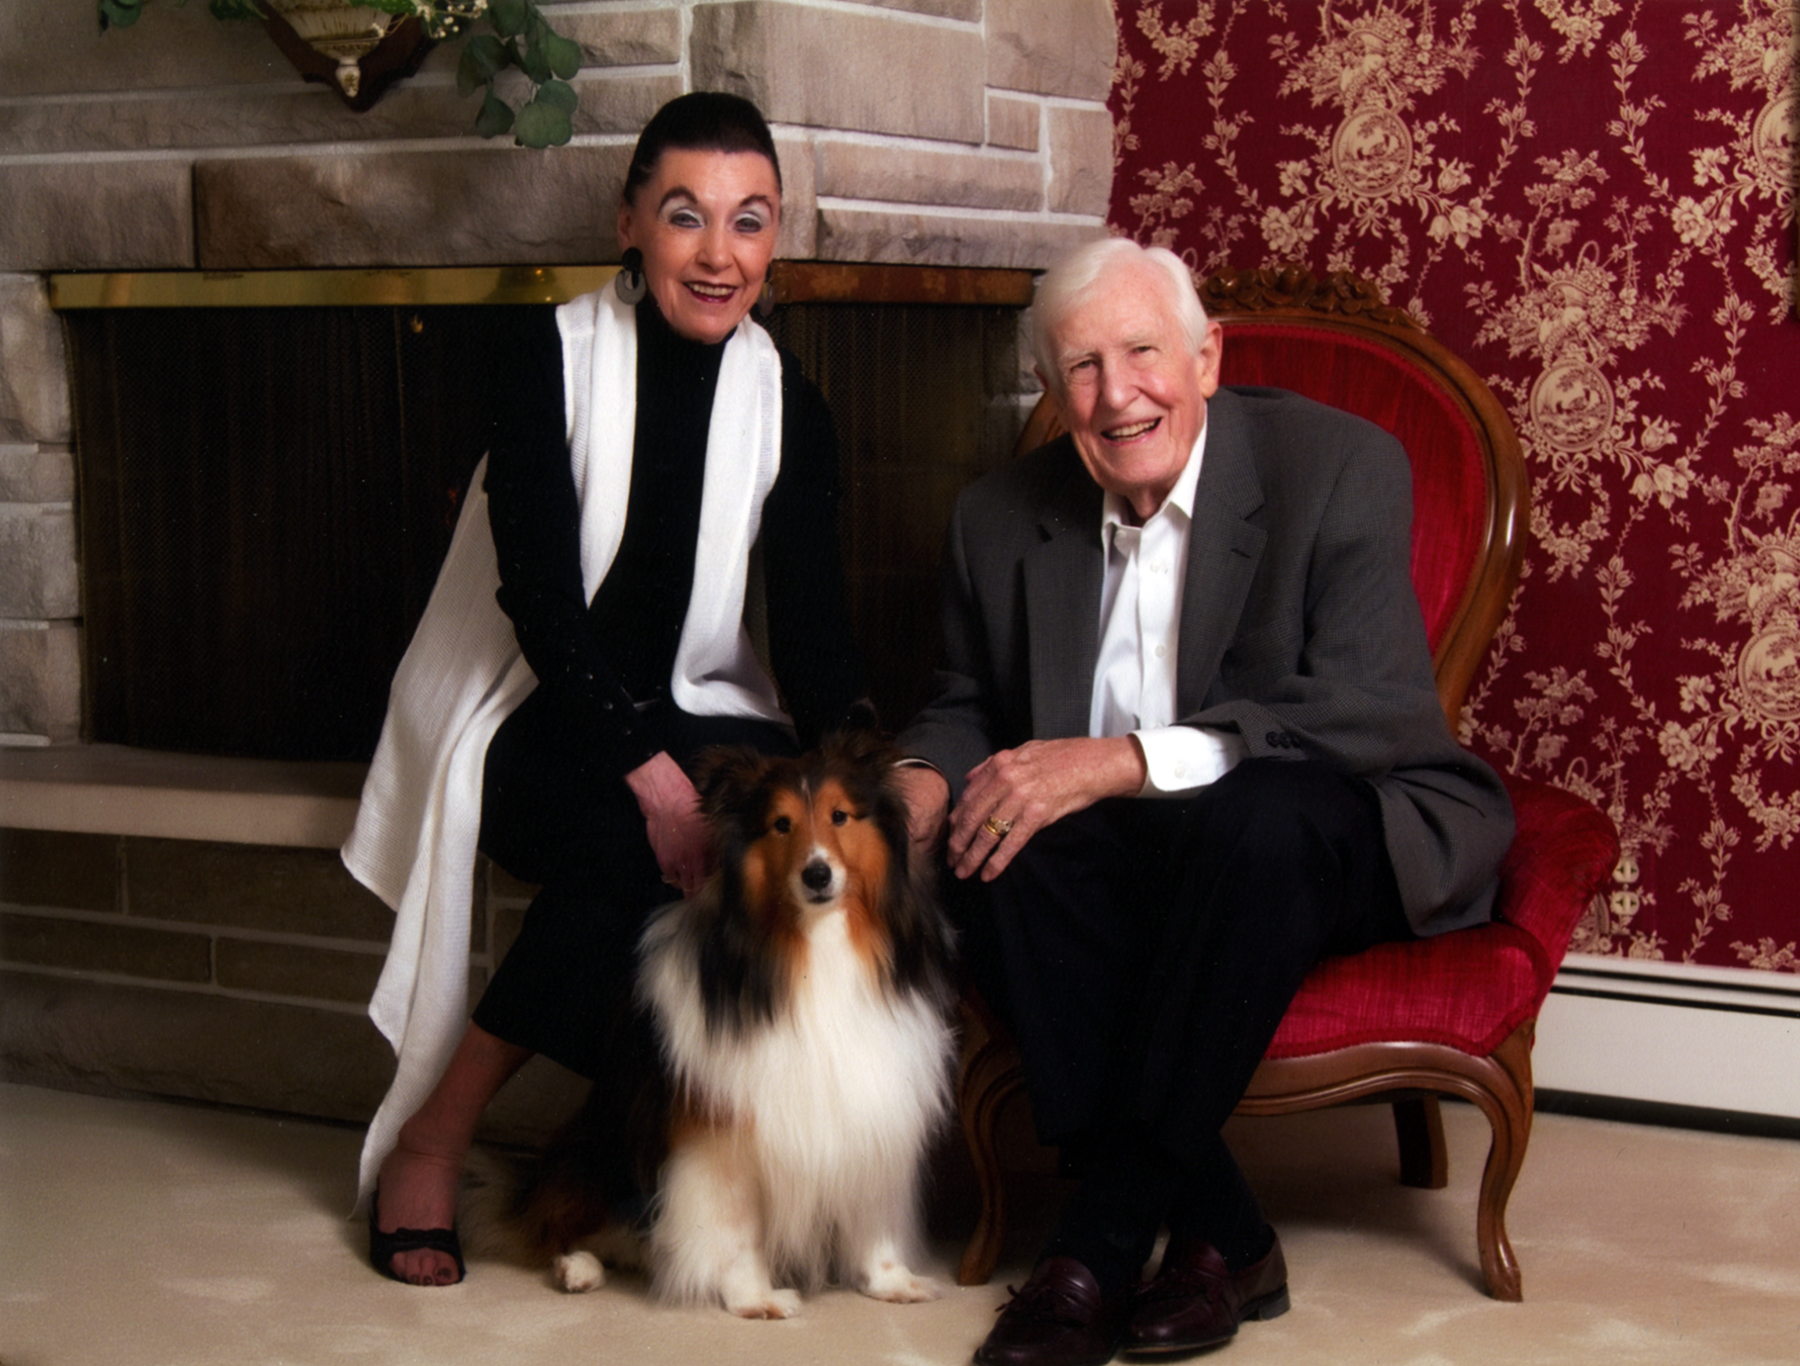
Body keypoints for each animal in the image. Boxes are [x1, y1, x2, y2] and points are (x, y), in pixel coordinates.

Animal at [468, 729, 957, 1319]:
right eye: (781, 824)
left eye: (840, 816)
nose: (817, 874)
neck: (815, 946)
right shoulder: (721, 1139)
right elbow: (736, 1228)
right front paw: (754, 1296)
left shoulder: (872, 1112)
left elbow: (872, 1216)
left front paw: (891, 1281)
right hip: (603, 1146)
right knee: (562, 1224)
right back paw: (577, 1267)